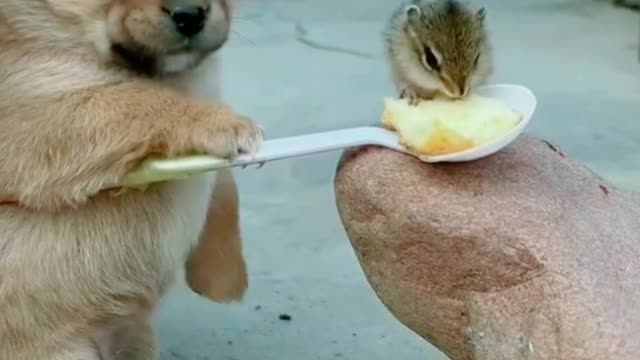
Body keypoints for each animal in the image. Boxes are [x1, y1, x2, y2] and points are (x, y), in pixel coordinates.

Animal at [0, 0, 260, 358]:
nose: (190, 14)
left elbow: (223, 195)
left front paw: (224, 276)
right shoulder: (39, 112)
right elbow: (135, 101)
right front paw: (218, 122)